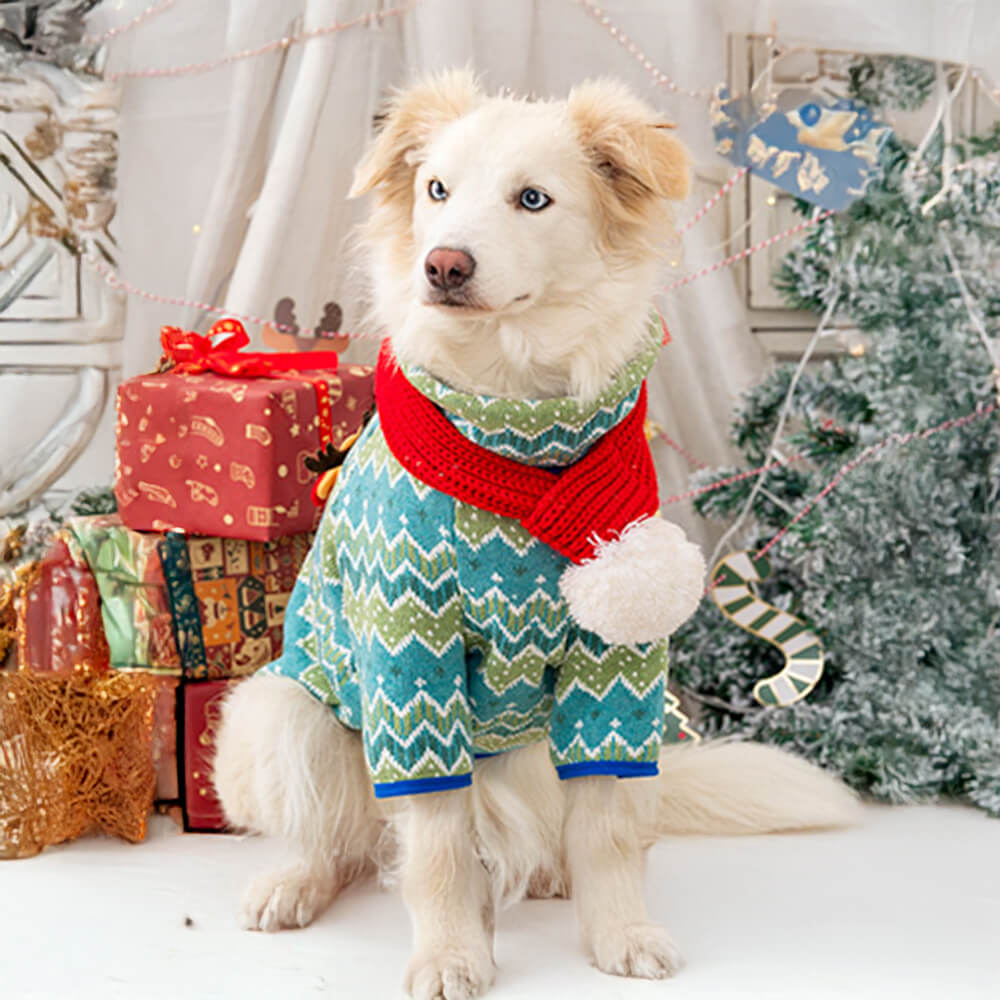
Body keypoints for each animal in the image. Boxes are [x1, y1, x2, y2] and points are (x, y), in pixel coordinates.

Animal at [213, 72, 860, 1000]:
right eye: (436, 190)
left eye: (532, 199)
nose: (443, 264)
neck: (517, 422)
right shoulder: (412, 665)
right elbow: (437, 847)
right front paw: (451, 953)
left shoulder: (619, 664)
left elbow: (610, 832)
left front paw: (619, 930)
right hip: (278, 713)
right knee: (342, 840)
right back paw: (294, 883)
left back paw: (551, 873)